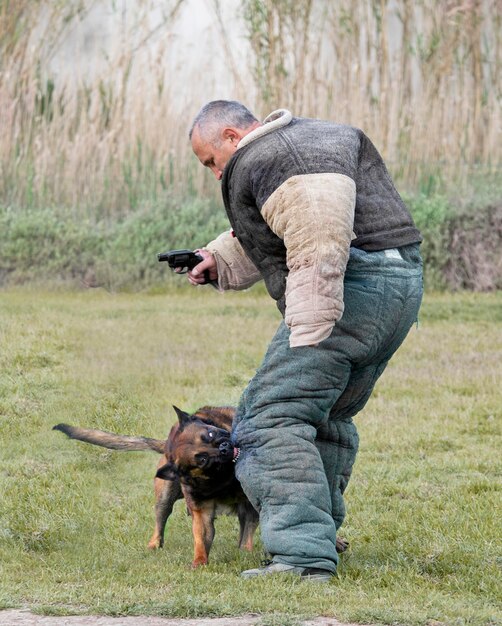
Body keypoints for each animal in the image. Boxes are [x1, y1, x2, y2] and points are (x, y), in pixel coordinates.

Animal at [54, 404, 258, 564]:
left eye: (210, 433)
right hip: (165, 496)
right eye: (202, 460)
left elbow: (247, 535)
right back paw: (153, 545)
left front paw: (245, 555)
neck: (221, 480)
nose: (225, 448)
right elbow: (201, 538)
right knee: (160, 520)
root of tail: (166, 445)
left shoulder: (250, 505)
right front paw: (199, 563)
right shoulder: (202, 513)